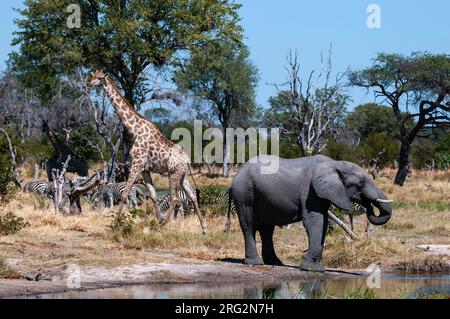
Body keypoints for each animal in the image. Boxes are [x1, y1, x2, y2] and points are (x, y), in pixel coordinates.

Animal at [87, 70, 207, 235]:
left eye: (99, 78)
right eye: (92, 75)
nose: (89, 84)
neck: (134, 129)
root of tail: (187, 160)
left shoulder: (137, 163)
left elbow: (125, 193)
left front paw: (115, 223)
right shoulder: (145, 169)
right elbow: (153, 195)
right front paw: (157, 219)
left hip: (173, 174)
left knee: (175, 198)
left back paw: (166, 225)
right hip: (183, 176)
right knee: (193, 195)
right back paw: (204, 228)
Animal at [230, 155, 392, 272]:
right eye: (361, 183)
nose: (368, 205)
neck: (335, 164)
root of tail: (239, 170)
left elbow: (324, 222)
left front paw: (317, 269)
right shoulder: (310, 191)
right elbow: (315, 221)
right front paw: (309, 269)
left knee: (267, 229)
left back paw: (276, 262)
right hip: (244, 193)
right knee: (249, 225)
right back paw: (254, 263)